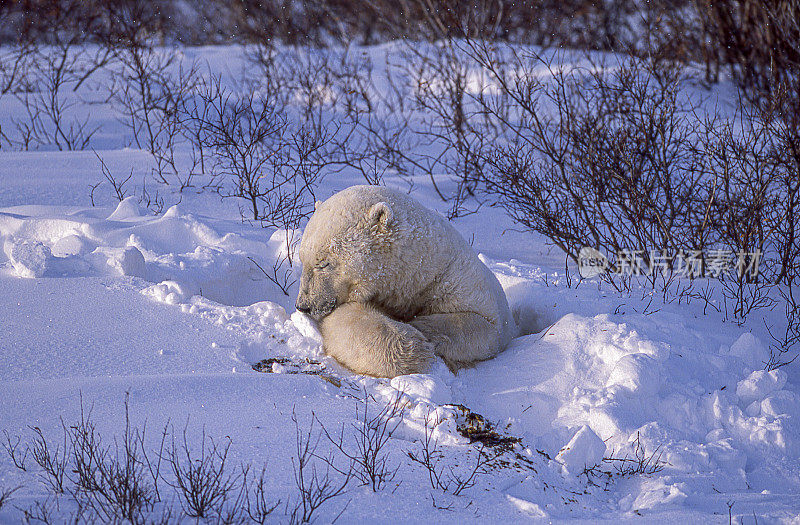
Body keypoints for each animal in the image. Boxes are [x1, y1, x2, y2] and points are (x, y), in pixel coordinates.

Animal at [296, 184, 520, 376]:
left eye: (323, 264)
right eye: (302, 259)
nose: (303, 305)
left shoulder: (453, 279)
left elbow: (483, 325)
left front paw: (422, 330)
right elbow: (349, 320)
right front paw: (414, 347)